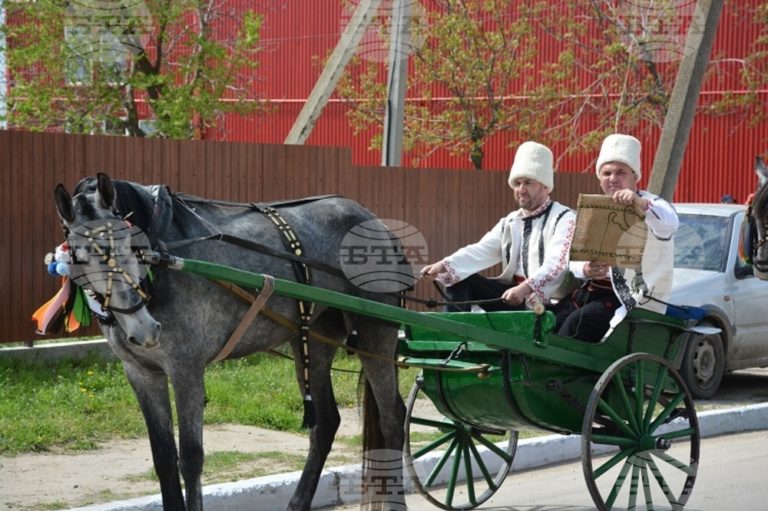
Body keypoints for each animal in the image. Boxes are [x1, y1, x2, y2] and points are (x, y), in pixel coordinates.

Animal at [54, 174, 408, 510]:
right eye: (80, 257)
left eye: (130, 244)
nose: (144, 330)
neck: (163, 261)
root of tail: (375, 221)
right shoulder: (141, 373)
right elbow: (164, 458)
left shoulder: (186, 369)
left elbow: (191, 459)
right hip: (314, 340)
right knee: (326, 423)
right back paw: (298, 502)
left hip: (376, 332)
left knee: (393, 417)